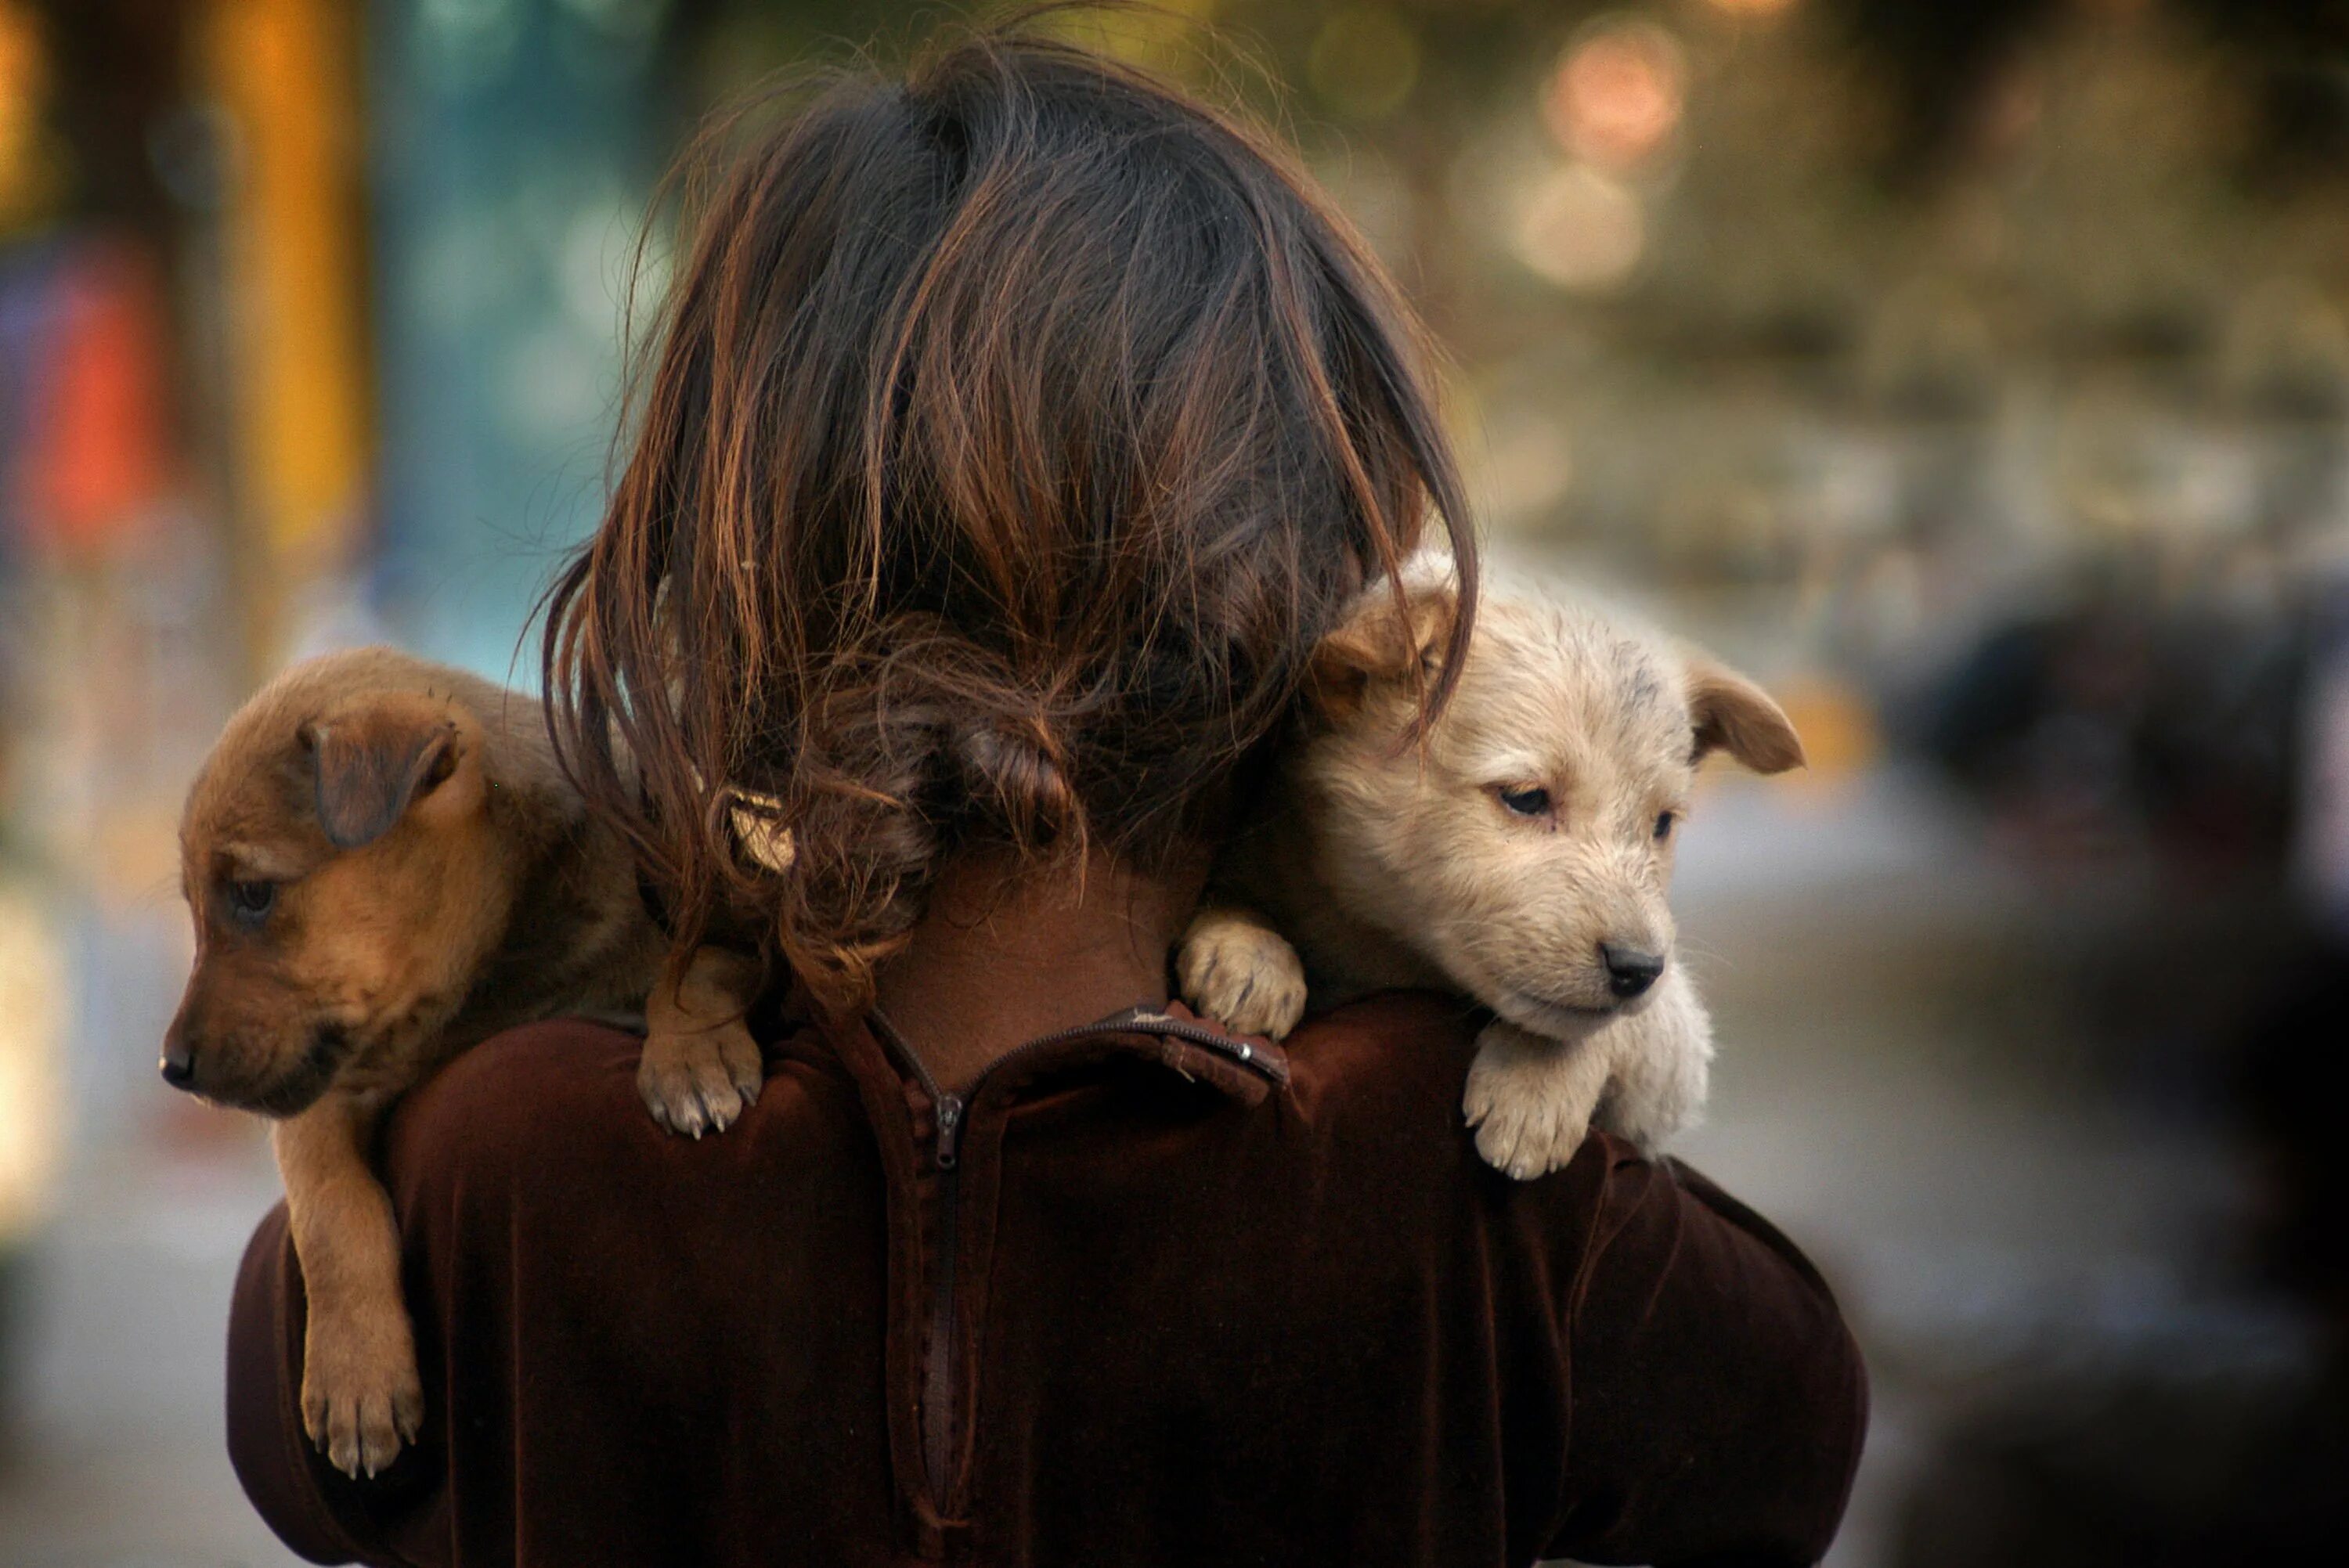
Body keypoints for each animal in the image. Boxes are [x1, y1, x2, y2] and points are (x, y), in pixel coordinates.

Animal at [170, 643, 766, 1474]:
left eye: (254, 892)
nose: (172, 1068)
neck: (493, 982)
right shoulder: (331, 1086)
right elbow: (332, 1205)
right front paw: (357, 1375)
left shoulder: (729, 923)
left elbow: (694, 965)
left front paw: (692, 1063)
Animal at [1184, 582, 1804, 1183]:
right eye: (1526, 798)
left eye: (1663, 824)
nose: (1638, 968)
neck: (1390, 951)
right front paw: (1249, 954)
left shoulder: (1677, 1048)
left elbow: (1600, 1025)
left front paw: (1537, 1081)